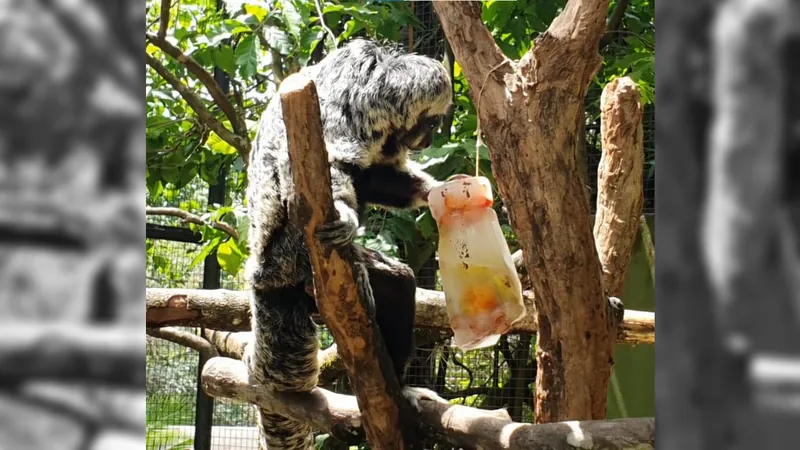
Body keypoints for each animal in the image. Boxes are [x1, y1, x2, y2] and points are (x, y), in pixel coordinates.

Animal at [244, 39, 454, 450]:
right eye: (430, 123)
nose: (430, 140)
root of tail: (262, 273)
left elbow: (372, 177)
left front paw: (433, 190)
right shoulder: (344, 103)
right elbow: (324, 167)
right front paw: (343, 213)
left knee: (398, 280)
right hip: (292, 255)